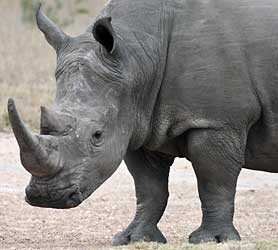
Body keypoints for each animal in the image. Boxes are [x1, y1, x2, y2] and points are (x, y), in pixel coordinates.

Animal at [7, 0, 278, 244]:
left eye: (97, 135)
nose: (46, 197)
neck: (136, 58)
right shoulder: (136, 121)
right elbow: (148, 187)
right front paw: (133, 238)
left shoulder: (215, 120)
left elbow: (214, 182)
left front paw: (212, 239)